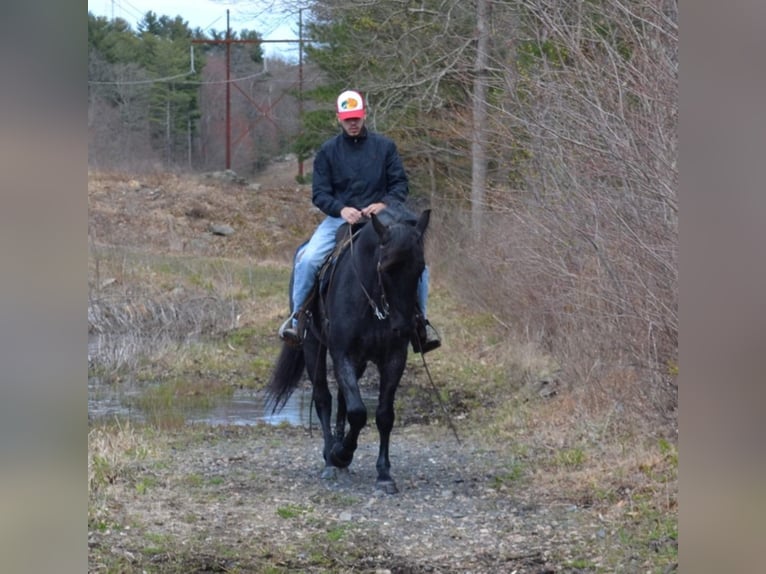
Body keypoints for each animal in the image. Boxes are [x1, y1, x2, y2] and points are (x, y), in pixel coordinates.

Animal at [268, 207, 428, 496]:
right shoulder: (341, 353)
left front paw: (384, 474)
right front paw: (340, 454)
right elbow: (357, 412)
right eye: (386, 267)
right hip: (313, 347)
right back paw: (331, 460)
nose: (403, 327)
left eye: (420, 269)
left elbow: (383, 415)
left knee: (343, 398)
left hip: (359, 361)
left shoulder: (393, 359)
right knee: (324, 398)